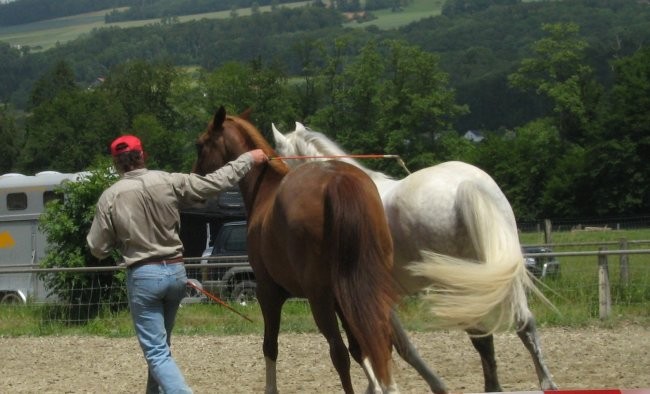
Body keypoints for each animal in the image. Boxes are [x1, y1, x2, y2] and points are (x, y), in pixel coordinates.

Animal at [191, 106, 394, 392]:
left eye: (200, 144)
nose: (196, 179)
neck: (267, 190)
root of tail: (337, 180)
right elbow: (360, 348)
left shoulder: (268, 292)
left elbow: (270, 346)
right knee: (374, 342)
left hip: (319, 299)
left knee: (339, 353)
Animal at [270, 121, 556, 392]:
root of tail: (465, 185)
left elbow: (394, 346)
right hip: (500, 276)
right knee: (523, 323)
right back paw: (544, 383)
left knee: (482, 335)